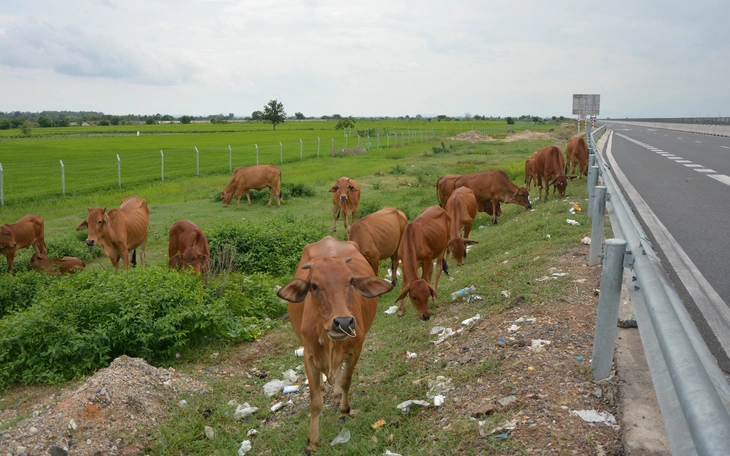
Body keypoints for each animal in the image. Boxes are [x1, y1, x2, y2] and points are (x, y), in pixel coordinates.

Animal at [276, 237, 392, 450]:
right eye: (314, 285)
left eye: (351, 281)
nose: (344, 322)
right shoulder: (309, 355)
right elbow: (315, 402)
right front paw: (313, 439)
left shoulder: (356, 349)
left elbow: (346, 380)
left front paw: (345, 409)